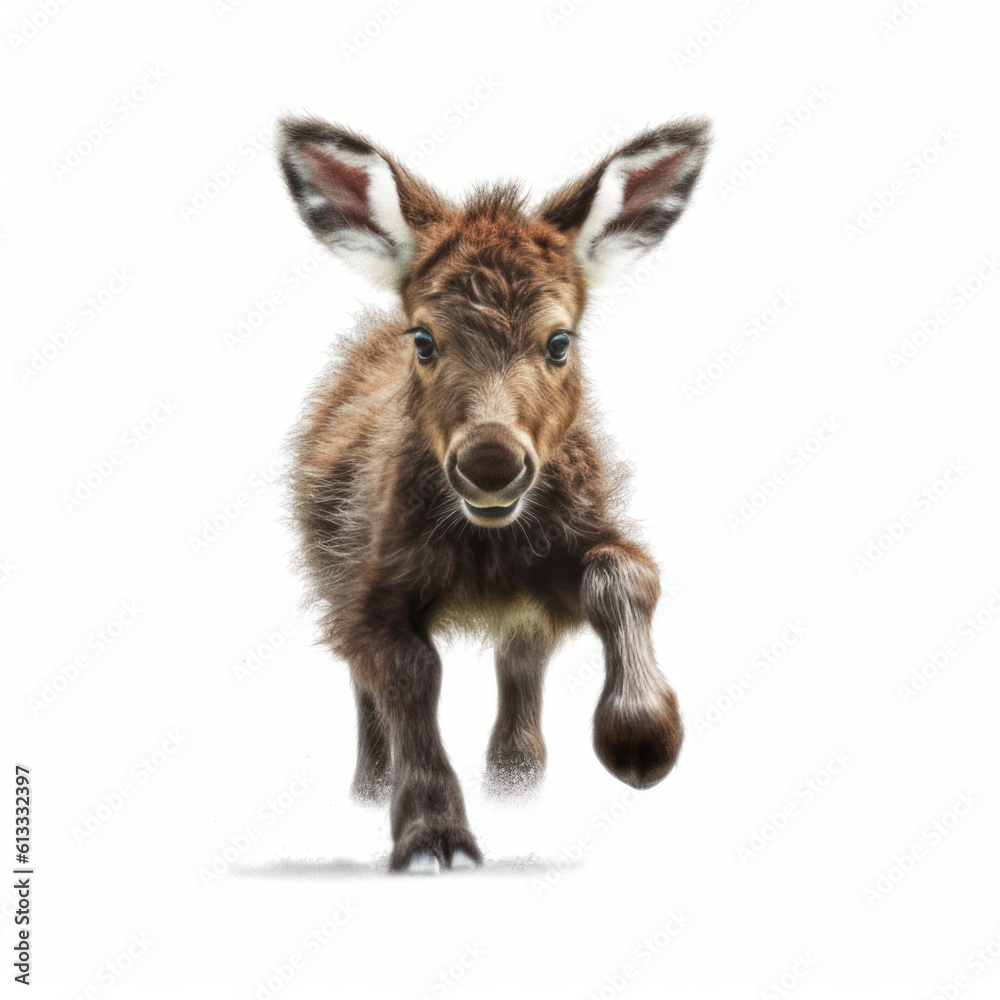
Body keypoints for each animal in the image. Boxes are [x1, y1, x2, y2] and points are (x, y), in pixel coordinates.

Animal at [275, 114, 711, 873]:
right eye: (425, 339)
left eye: (560, 341)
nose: (490, 462)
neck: (488, 551)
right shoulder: (373, 583)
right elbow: (408, 673)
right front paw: (433, 837)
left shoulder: (579, 536)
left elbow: (626, 573)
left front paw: (641, 737)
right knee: (363, 682)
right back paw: (372, 787)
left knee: (522, 659)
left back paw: (515, 780)